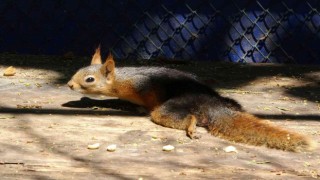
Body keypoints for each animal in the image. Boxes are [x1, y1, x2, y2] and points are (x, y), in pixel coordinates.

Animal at [67, 46, 316, 152]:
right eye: (78, 71)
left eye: (89, 79)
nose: (69, 84)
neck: (121, 81)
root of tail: (211, 104)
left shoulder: (144, 86)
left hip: (171, 108)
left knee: (182, 116)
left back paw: (191, 125)